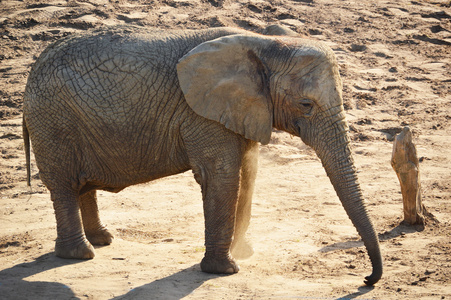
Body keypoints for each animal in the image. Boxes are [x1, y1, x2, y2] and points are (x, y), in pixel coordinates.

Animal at [23, 25, 384, 284]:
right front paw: (224, 270)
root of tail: (32, 70)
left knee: (81, 184)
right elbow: (222, 175)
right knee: (64, 184)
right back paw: (80, 254)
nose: (367, 279)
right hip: (53, 121)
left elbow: (248, 173)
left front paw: (243, 253)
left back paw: (102, 240)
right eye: (306, 105)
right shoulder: (202, 113)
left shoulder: (243, 108)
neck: (265, 44)